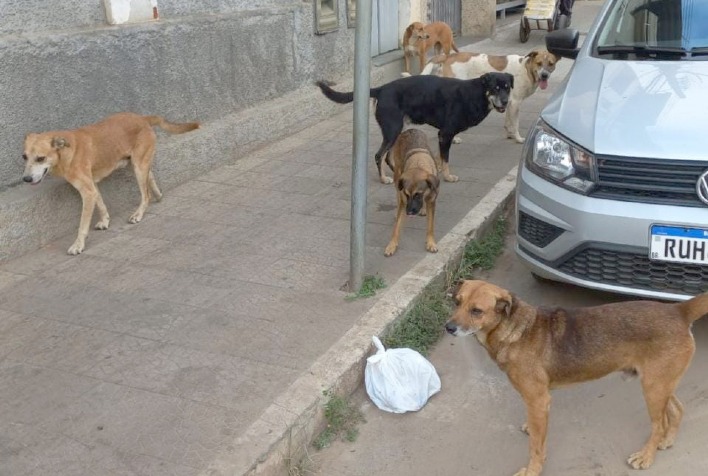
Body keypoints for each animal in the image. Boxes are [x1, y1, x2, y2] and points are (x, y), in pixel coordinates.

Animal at [22, 112, 199, 255]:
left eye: (40, 158)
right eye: (24, 157)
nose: (26, 179)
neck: (66, 151)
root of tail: (142, 118)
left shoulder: (87, 192)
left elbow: (82, 224)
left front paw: (78, 245)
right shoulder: (92, 187)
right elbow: (101, 204)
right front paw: (105, 221)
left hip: (138, 167)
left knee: (145, 195)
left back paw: (138, 213)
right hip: (138, 163)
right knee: (151, 178)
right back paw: (158, 194)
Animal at [384, 128, 440, 256]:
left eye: (418, 194)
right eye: (406, 194)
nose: (409, 212)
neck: (419, 164)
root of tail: (410, 129)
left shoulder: (432, 201)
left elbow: (430, 225)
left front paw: (431, 242)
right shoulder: (404, 200)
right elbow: (397, 226)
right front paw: (391, 245)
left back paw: (423, 209)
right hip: (397, 176)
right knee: (397, 194)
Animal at [420, 49, 560, 145]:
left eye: (550, 64)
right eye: (539, 63)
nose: (544, 75)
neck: (526, 69)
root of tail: (448, 56)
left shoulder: (508, 102)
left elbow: (508, 121)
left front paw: (509, 134)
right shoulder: (515, 103)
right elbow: (515, 123)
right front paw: (518, 138)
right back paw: (454, 138)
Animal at [446, 278, 708, 476]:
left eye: (477, 311)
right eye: (457, 302)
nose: (448, 328)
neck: (514, 330)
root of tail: (678, 310)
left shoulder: (538, 400)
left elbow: (536, 448)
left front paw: (532, 471)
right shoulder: (537, 403)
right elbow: (536, 432)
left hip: (653, 388)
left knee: (659, 424)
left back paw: (646, 456)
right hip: (660, 383)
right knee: (677, 409)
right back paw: (668, 440)